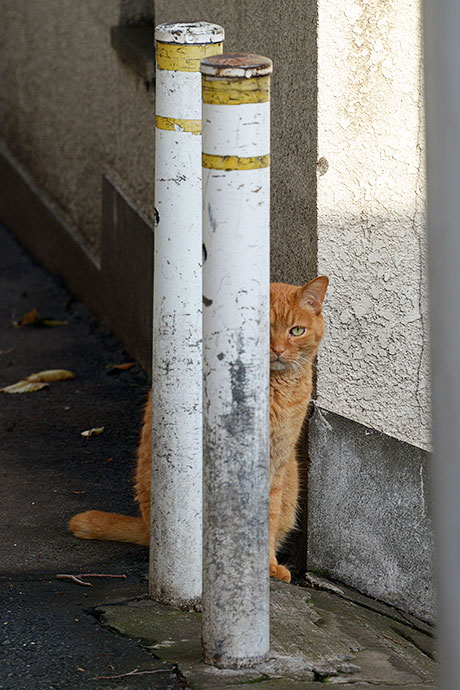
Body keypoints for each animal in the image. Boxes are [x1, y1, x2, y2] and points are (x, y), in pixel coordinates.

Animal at [67, 274, 328, 580]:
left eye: (296, 331)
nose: (277, 350)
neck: (273, 390)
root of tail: (147, 525)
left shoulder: (277, 464)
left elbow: (268, 517)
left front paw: (268, 565)